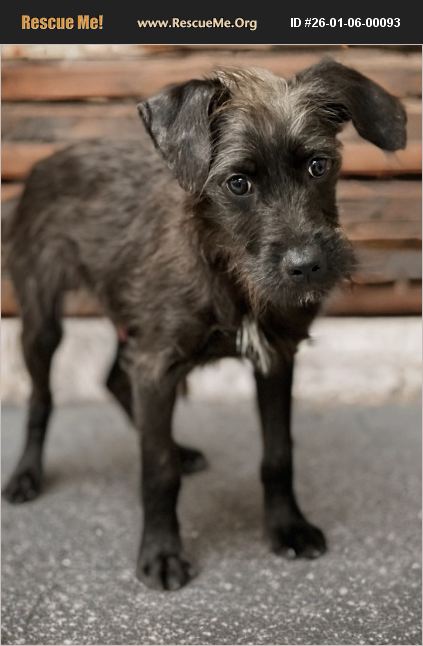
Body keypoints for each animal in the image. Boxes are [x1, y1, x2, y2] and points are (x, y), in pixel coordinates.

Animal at [2, 60, 406, 591]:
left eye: (319, 165)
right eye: (238, 183)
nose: (307, 266)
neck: (228, 271)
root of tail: (47, 162)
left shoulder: (274, 357)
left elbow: (278, 453)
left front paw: (288, 527)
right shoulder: (158, 364)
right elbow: (157, 470)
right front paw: (161, 553)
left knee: (113, 377)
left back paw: (179, 448)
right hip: (43, 317)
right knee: (42, 398)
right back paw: (26, 476)